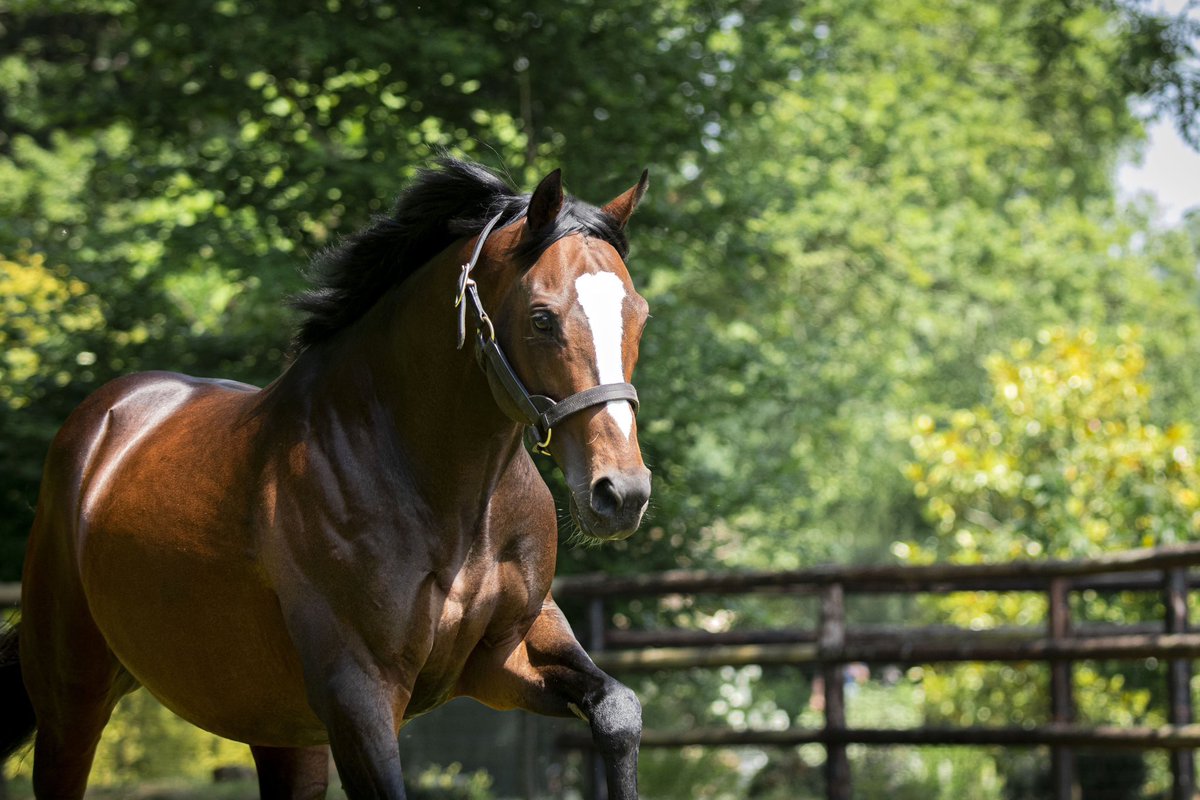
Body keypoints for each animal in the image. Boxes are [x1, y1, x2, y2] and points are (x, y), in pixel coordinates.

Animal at [0, 159, 652, 796]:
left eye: (639, 315)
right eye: (542, 318)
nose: (621, 493)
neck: (449, 499)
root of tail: (103, 424)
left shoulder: (503, 654)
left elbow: (619, 711)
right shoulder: (359, 695)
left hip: (278, 726)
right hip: (72, 701)